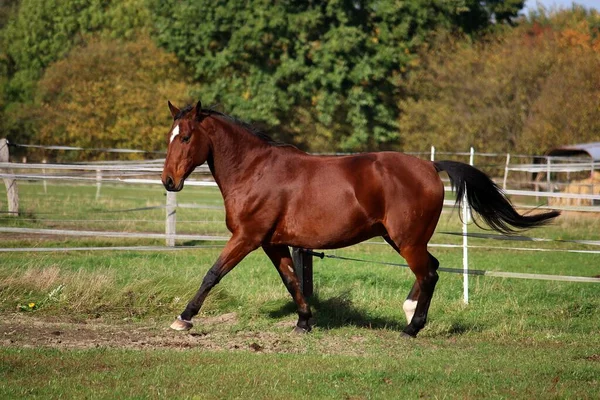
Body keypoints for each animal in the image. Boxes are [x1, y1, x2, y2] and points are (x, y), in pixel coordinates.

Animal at [162, 101, 560, 338]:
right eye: (171, 137)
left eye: (185, 137)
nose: (168, 181)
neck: (255, 171)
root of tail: (430, 166)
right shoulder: (272, 243)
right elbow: (292, 282)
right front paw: (304, 322)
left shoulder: (247, 237)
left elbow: (213, 274)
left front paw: (184, 318)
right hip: (399, 238)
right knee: (430, 267)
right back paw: (408, 312)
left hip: (406, 240)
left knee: (428, 273)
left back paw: (411, 329)